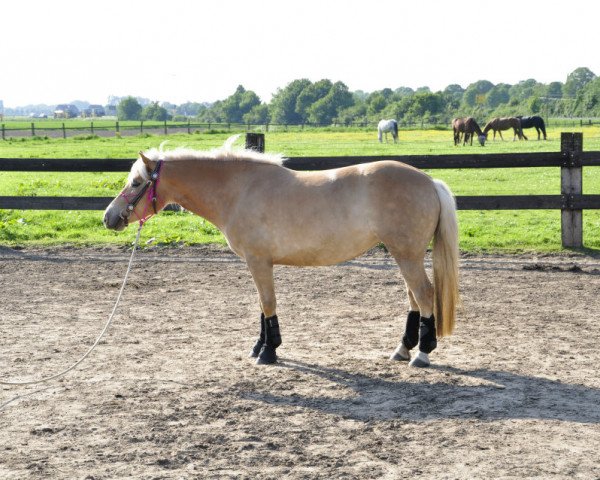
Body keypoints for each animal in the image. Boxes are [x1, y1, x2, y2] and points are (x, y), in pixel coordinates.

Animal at [103, 141, 460, 370]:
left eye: (135, 182)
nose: (109, 217)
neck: (239, 191)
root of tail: (430, 181)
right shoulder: (257, 263)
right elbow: (262, 306)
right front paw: (259, 346)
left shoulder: (259, 261)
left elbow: (268, 304)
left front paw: (268, 351)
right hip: (404, 255)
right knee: (414, 300)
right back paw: (402, 349)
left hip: (407, 255)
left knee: (425, 295)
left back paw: (422, 354)